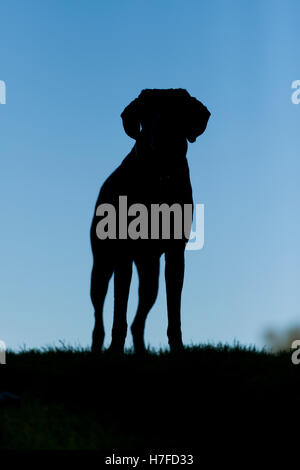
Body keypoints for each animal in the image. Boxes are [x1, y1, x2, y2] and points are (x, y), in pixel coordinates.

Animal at [90, 88, 210, 352]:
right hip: (102, 265)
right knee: (99, 313)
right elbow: (119, 312)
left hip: (150, 275)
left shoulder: (176, 254)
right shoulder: (123, 255)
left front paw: (178, 350)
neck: (158, 177)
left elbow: (174, 312)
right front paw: (115, 351)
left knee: (139, 318)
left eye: (178, 108)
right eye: (147, 111)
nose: (165, 133)